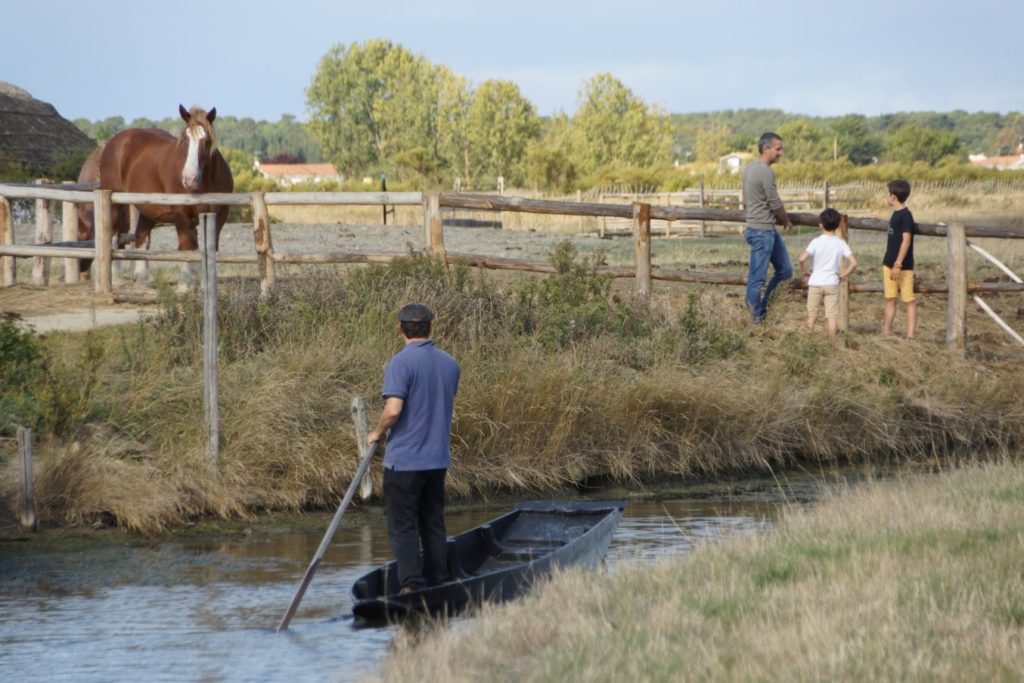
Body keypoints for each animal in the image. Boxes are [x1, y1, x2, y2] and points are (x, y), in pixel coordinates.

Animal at [98, 104, 234, 286]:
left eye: (206, 141)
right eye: (184, 140)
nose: (189, 179)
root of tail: (113, 142)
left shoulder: (220, 214)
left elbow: (211, 247)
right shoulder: (181, 213)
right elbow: (186, 246)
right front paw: (184, 284)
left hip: (147, 207)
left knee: (141, 236)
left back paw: (142, 278)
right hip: (115, 203)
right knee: (114, 236)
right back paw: (118, 279)